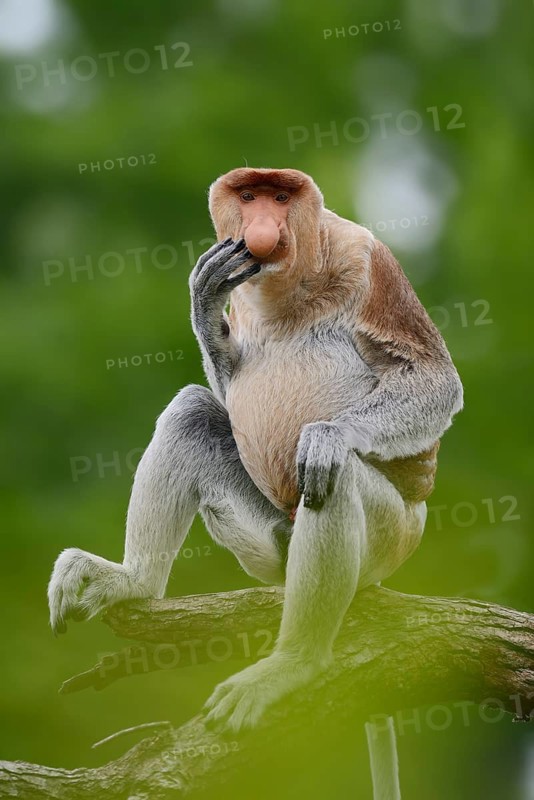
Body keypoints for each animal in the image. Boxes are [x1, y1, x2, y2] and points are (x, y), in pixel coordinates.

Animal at [48, 168, 463, 747]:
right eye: (248, 196)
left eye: (281, 197)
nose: (262, 227)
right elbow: (224, 394)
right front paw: (204, 300)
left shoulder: (366, 257)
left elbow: (433, 377)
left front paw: (329, 434)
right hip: (268, 541)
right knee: (191, 411)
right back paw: (132, 582)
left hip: (392, 538)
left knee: (334, 478)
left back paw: (294, 663)